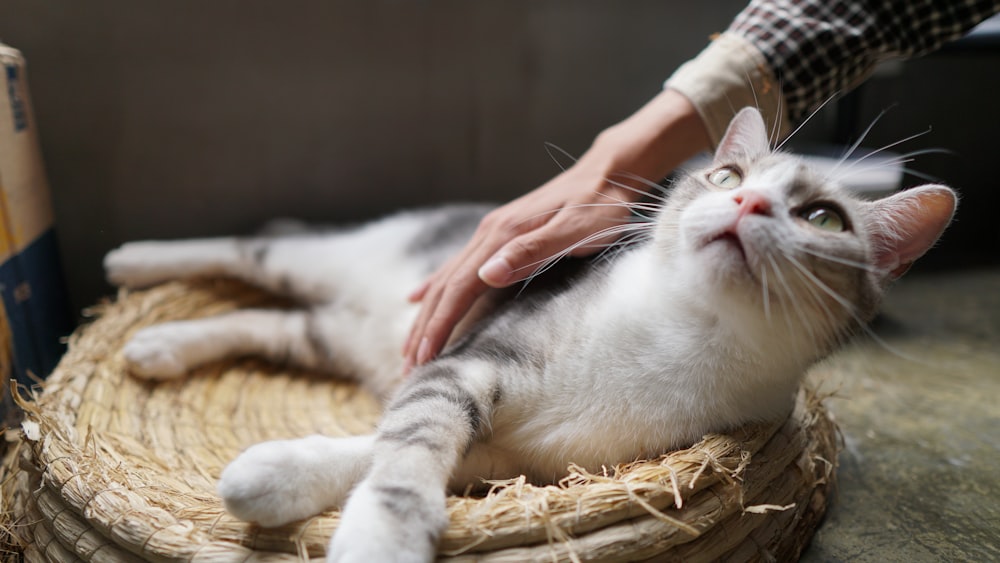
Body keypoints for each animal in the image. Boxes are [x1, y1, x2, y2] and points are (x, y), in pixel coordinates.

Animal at [105, 108, 956, 560]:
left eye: (824, 218)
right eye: (727, 177)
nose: (746, 205)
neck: (686, 334)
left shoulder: (516, 455)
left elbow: (379, 445)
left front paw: (272, 475)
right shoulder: (472, 362)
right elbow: (405, 453)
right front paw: (381, 534)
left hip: (334, 333)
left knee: (273, 319)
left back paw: (159, 347)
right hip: (326, 262)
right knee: (251, 247)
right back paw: (135, 259)